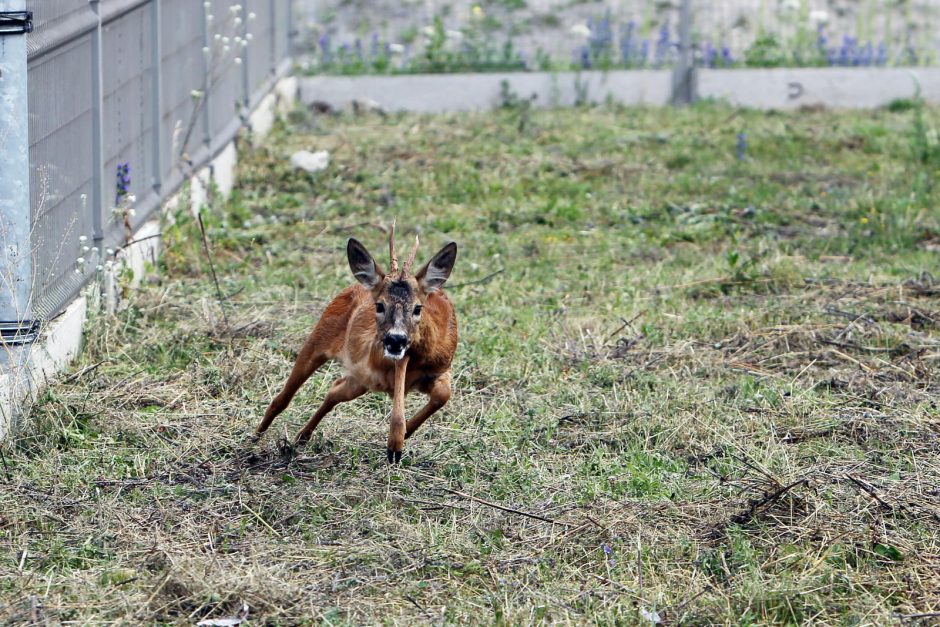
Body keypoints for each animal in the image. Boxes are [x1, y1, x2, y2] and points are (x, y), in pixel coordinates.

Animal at [258, 224, 458, 462]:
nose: (395, 339)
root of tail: (357, 285)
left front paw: (403, 436)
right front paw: (395, 445)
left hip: (359, 381)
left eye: (418, 308)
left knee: (335, 389)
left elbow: (443, 395)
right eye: (379, 305)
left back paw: (301, 438)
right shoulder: (381, 362)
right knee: (283, 397)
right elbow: (402, 378)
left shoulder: (439, 369)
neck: (422, 358)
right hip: (319, 339)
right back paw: (256, 436)